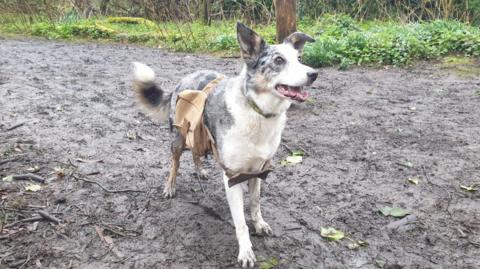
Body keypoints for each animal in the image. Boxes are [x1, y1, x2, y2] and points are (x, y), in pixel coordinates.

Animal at [133, 22, 316, 266]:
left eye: (299, 58)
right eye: (279, 60)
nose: (314, 74)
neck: (257, 112)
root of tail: (183, 79)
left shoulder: (259, 170)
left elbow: (255, 203)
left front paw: (259, 224)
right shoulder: (233, 176)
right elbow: (240, 223)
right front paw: (246, 252)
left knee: (196, 152)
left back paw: (200, 170)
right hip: (179, 138)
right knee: (175, 162)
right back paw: (170, 187)